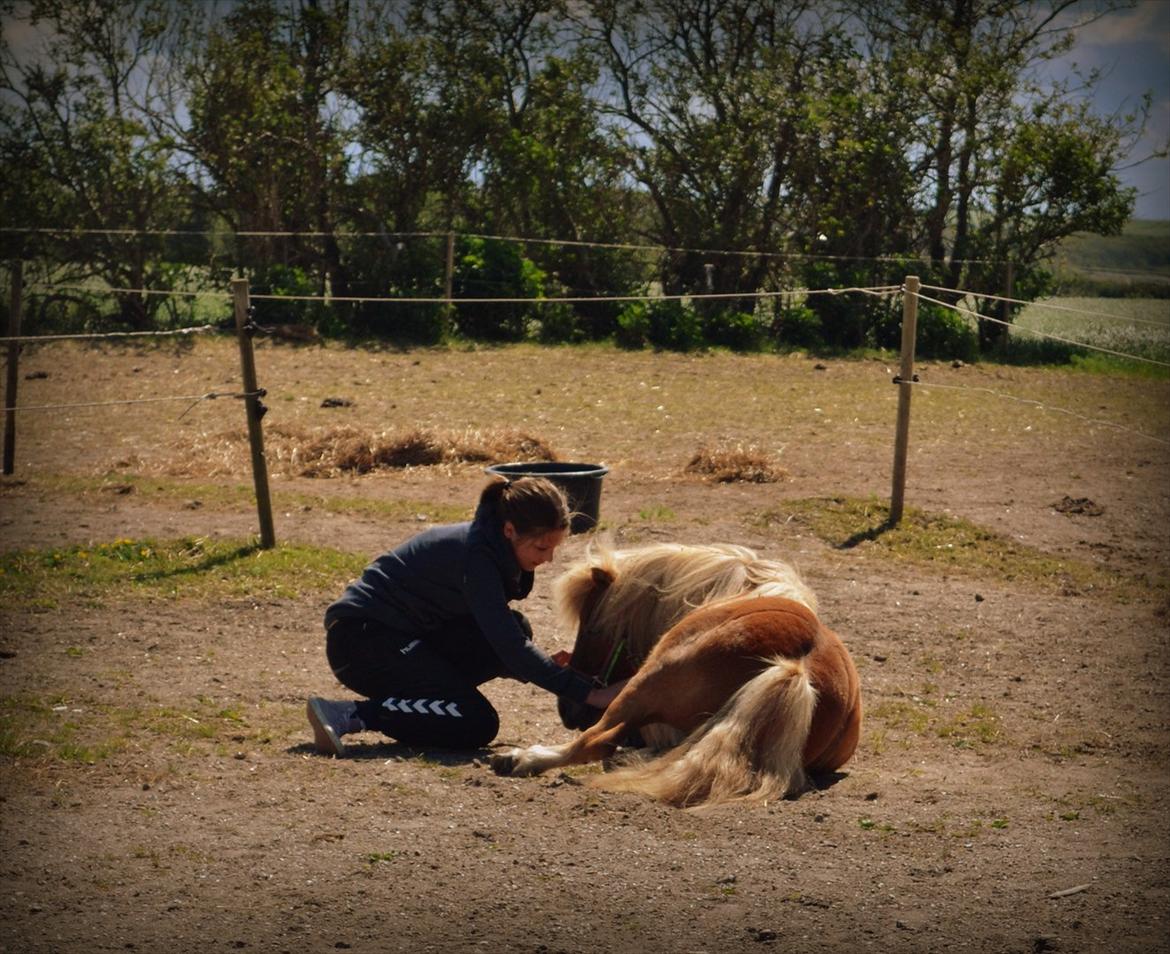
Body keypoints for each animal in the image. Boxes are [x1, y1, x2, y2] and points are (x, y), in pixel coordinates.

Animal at [489, 545, 865, 805]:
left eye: (594, 629)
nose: (567, 710)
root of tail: (798, 666)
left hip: (644, 684)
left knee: (595, 742)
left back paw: (521, 759)